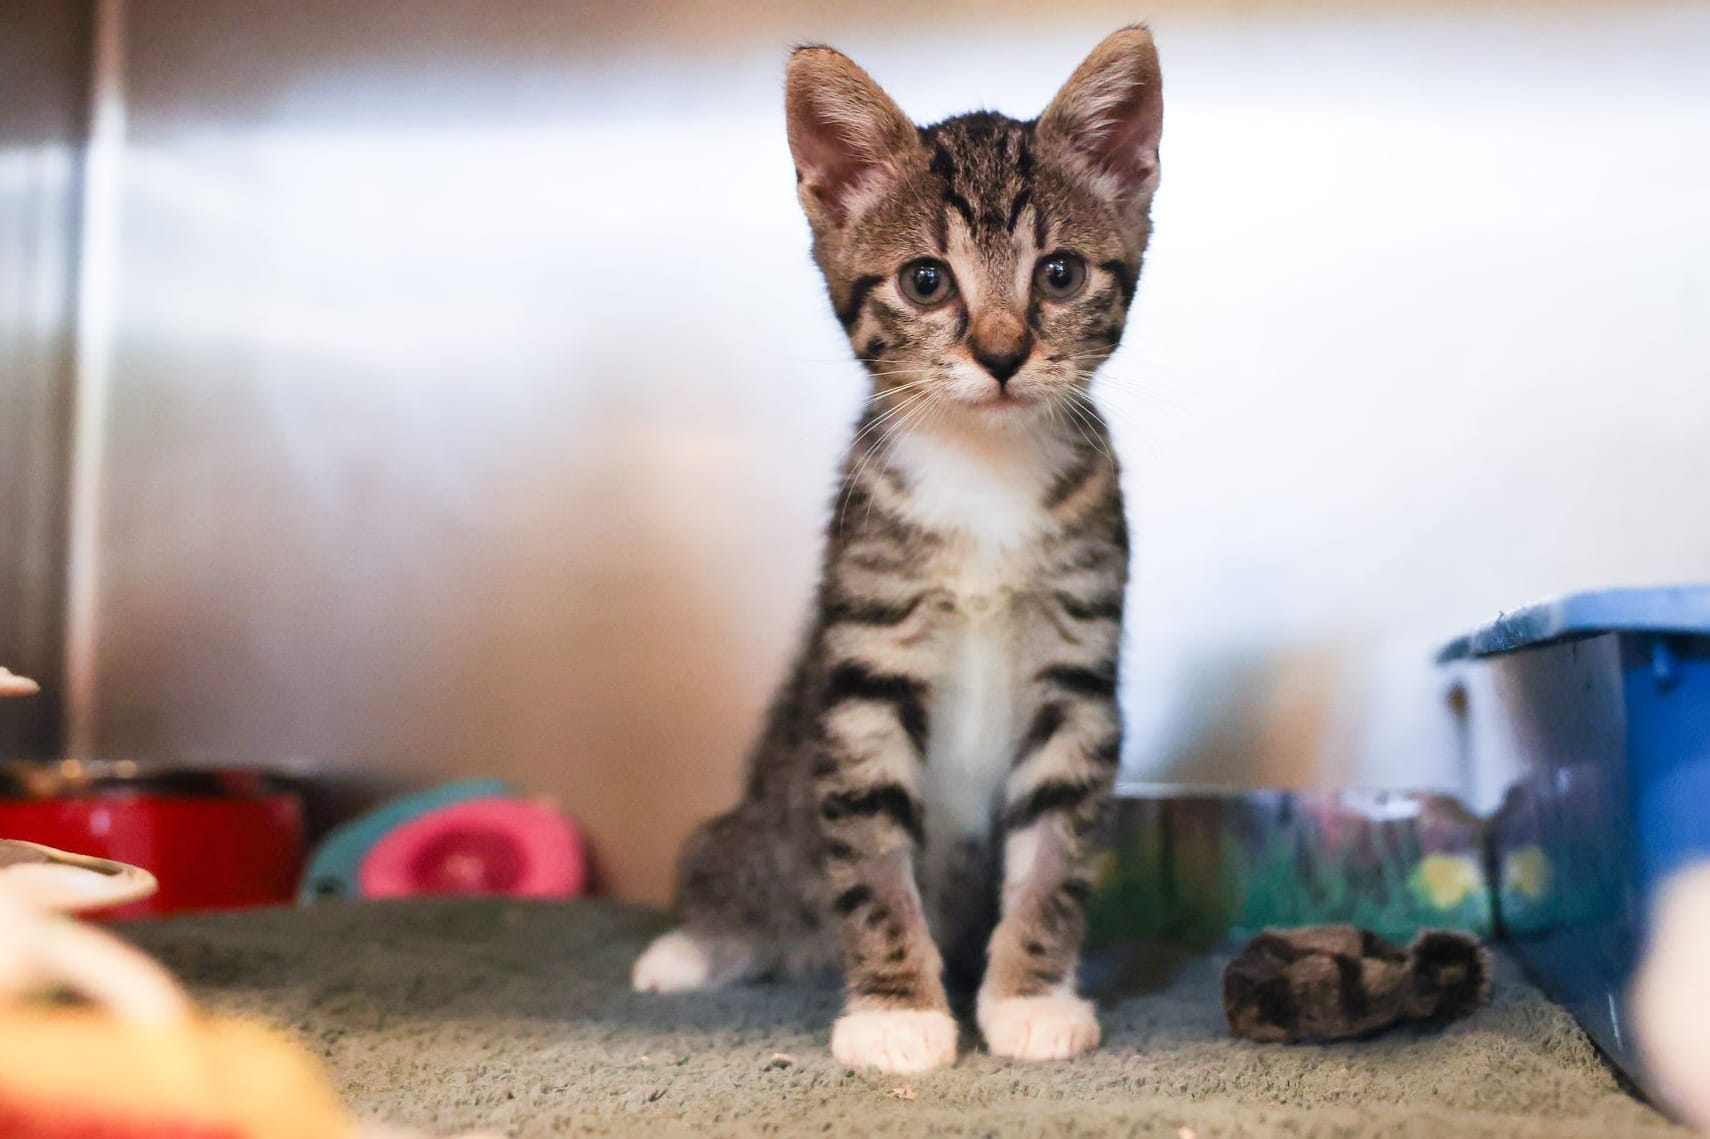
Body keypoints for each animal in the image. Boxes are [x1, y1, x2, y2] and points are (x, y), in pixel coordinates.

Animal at [629, 28, 1162, 1074]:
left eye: (1060, 275)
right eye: (926, 280)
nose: (1000, 354)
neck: (985, 470)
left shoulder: (1077, 674)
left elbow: (1056, 852)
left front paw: (1030, 995)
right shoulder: (866, 673)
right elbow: (872, 858)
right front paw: (897, 1012)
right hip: (751, 829)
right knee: (742, 881)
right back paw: (691, 948)